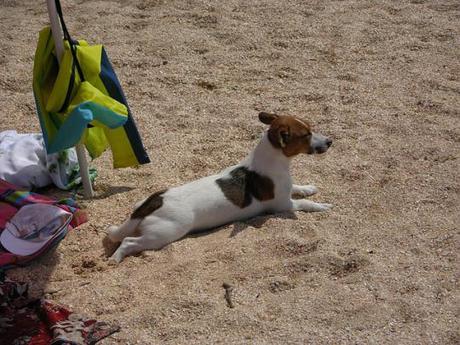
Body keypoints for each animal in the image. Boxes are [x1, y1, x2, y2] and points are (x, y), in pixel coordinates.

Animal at [106, 111, 332, 262]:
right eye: (306, 135)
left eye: (310, 128)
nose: (330, 141)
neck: (272, 162)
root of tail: (154, 202)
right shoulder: (282, 206)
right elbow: (306, 204)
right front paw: (322, 206)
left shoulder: (287, 190)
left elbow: (299, 187)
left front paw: (309, 188)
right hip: (163, 234)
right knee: (128, 241)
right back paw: (116, 258)